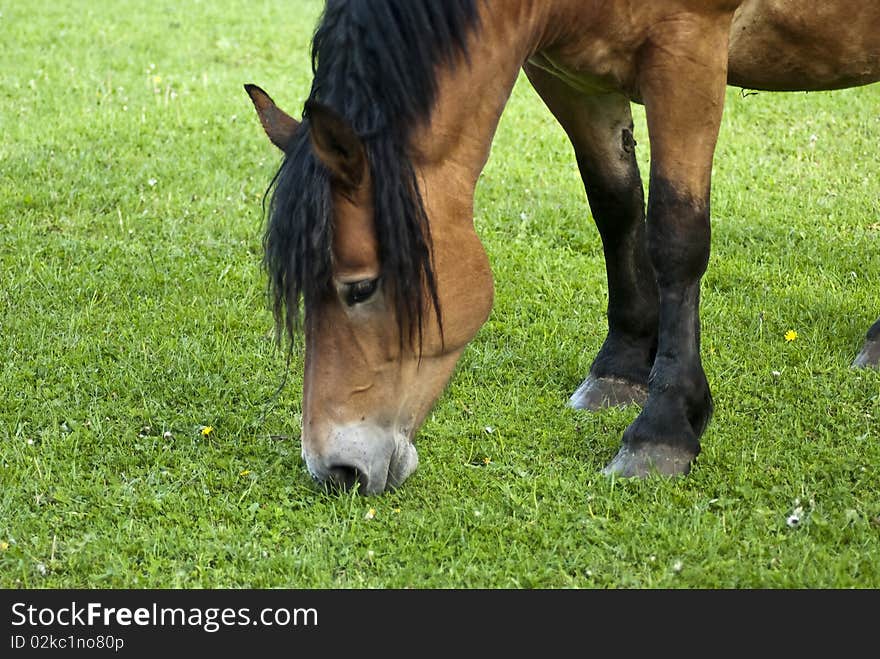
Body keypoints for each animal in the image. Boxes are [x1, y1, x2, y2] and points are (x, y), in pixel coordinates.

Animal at [246, 1, 880, 496]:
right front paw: (619, 368)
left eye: (361, 288)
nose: (335, 471)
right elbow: (615, 208)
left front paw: (663, 430)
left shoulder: (687, 52)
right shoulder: (568, 77)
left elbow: (676, 236)